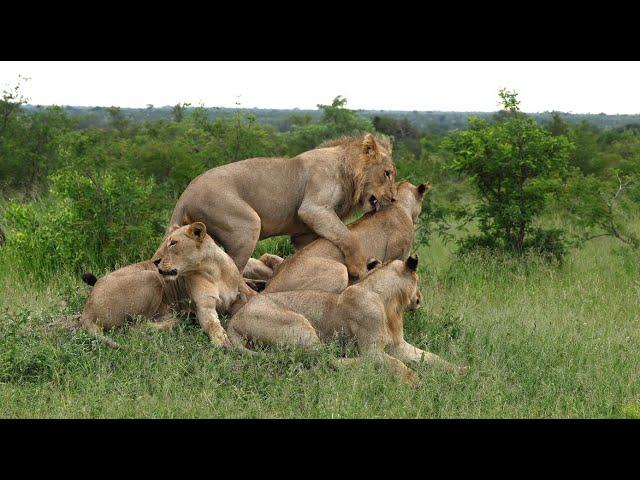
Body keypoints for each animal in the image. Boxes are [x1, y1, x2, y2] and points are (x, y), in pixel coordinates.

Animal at [80, 221, 250, 348]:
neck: (214, 270)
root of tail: (87, 310)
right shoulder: (204, 305)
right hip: (150, 277)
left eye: (173, 243)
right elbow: (211, 324)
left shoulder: (238, 296)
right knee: (134, 326)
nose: (155, 261)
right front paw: (221, 340)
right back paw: (179, 318)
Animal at [168, 131, 398, 282]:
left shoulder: (304, 234)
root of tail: (186, 194)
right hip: (246, 226)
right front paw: (359, 269)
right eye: (387, 173)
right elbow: (348, 236)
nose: (394, 198)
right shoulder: (313, 208)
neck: (347, 172)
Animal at [228, 255, 468, 386]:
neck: (389, 304)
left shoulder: (398, 345)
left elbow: (432, 357)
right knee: (327, 360)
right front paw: (413, 380)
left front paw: (460, 371)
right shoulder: (373, 349)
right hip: (300, 324)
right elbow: (397, 363)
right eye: (418, 279)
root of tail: (233, 321)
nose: (420, 298)